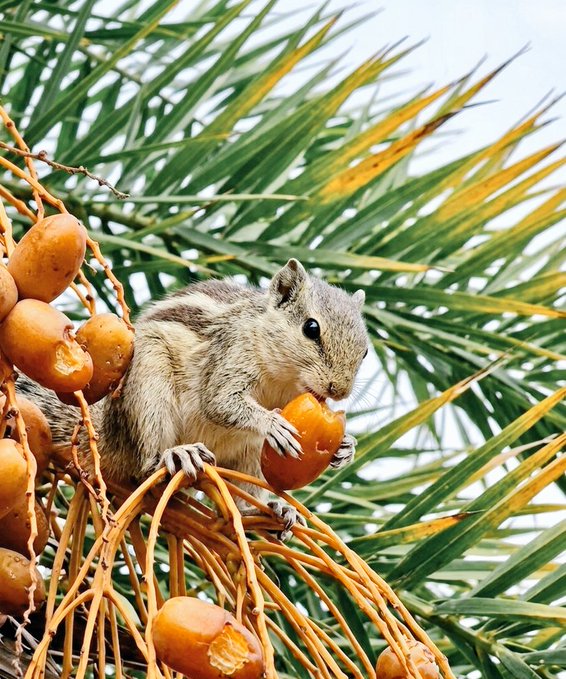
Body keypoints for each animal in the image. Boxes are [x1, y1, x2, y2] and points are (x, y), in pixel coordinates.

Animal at [16, 259, 369, 537]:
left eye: (365, 351)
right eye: (311, 328)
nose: (338, 390)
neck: (283, 380)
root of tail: (111, 439)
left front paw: (345, 447)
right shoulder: (229, 356)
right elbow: (221, 401)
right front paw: (272, 423)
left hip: (251, 457)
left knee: (243, 499)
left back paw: (272, 510)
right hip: (150, 386)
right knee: (145, 464)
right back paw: (175, 455)